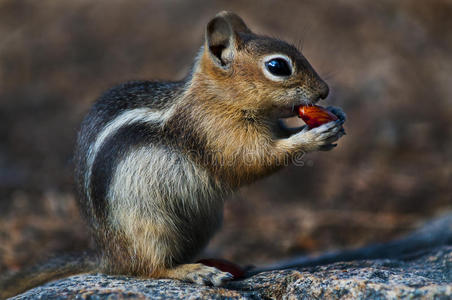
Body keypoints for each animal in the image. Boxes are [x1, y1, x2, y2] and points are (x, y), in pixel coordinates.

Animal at [0, 9, 346, 298]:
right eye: (278, 66)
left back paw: (224, 265)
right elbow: (250, 161)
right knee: (150, 268)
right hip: (151, 226)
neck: (217, 98)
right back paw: (196, 272)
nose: (324, 91)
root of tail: (109, 257)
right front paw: (312, 137)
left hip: (203, 221)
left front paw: (335, 116)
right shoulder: (216, 133)